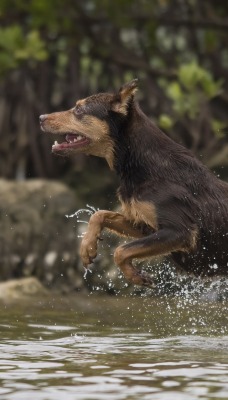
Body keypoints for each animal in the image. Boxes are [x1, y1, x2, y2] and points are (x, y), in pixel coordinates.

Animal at [39, 80, 228, 288]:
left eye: (79, 110)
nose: (40, 117)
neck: (144, 166)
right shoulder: (145, 225)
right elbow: (100, 214)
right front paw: (87, 247)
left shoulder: (181, 231)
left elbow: (120, 251)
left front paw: (135, 276)